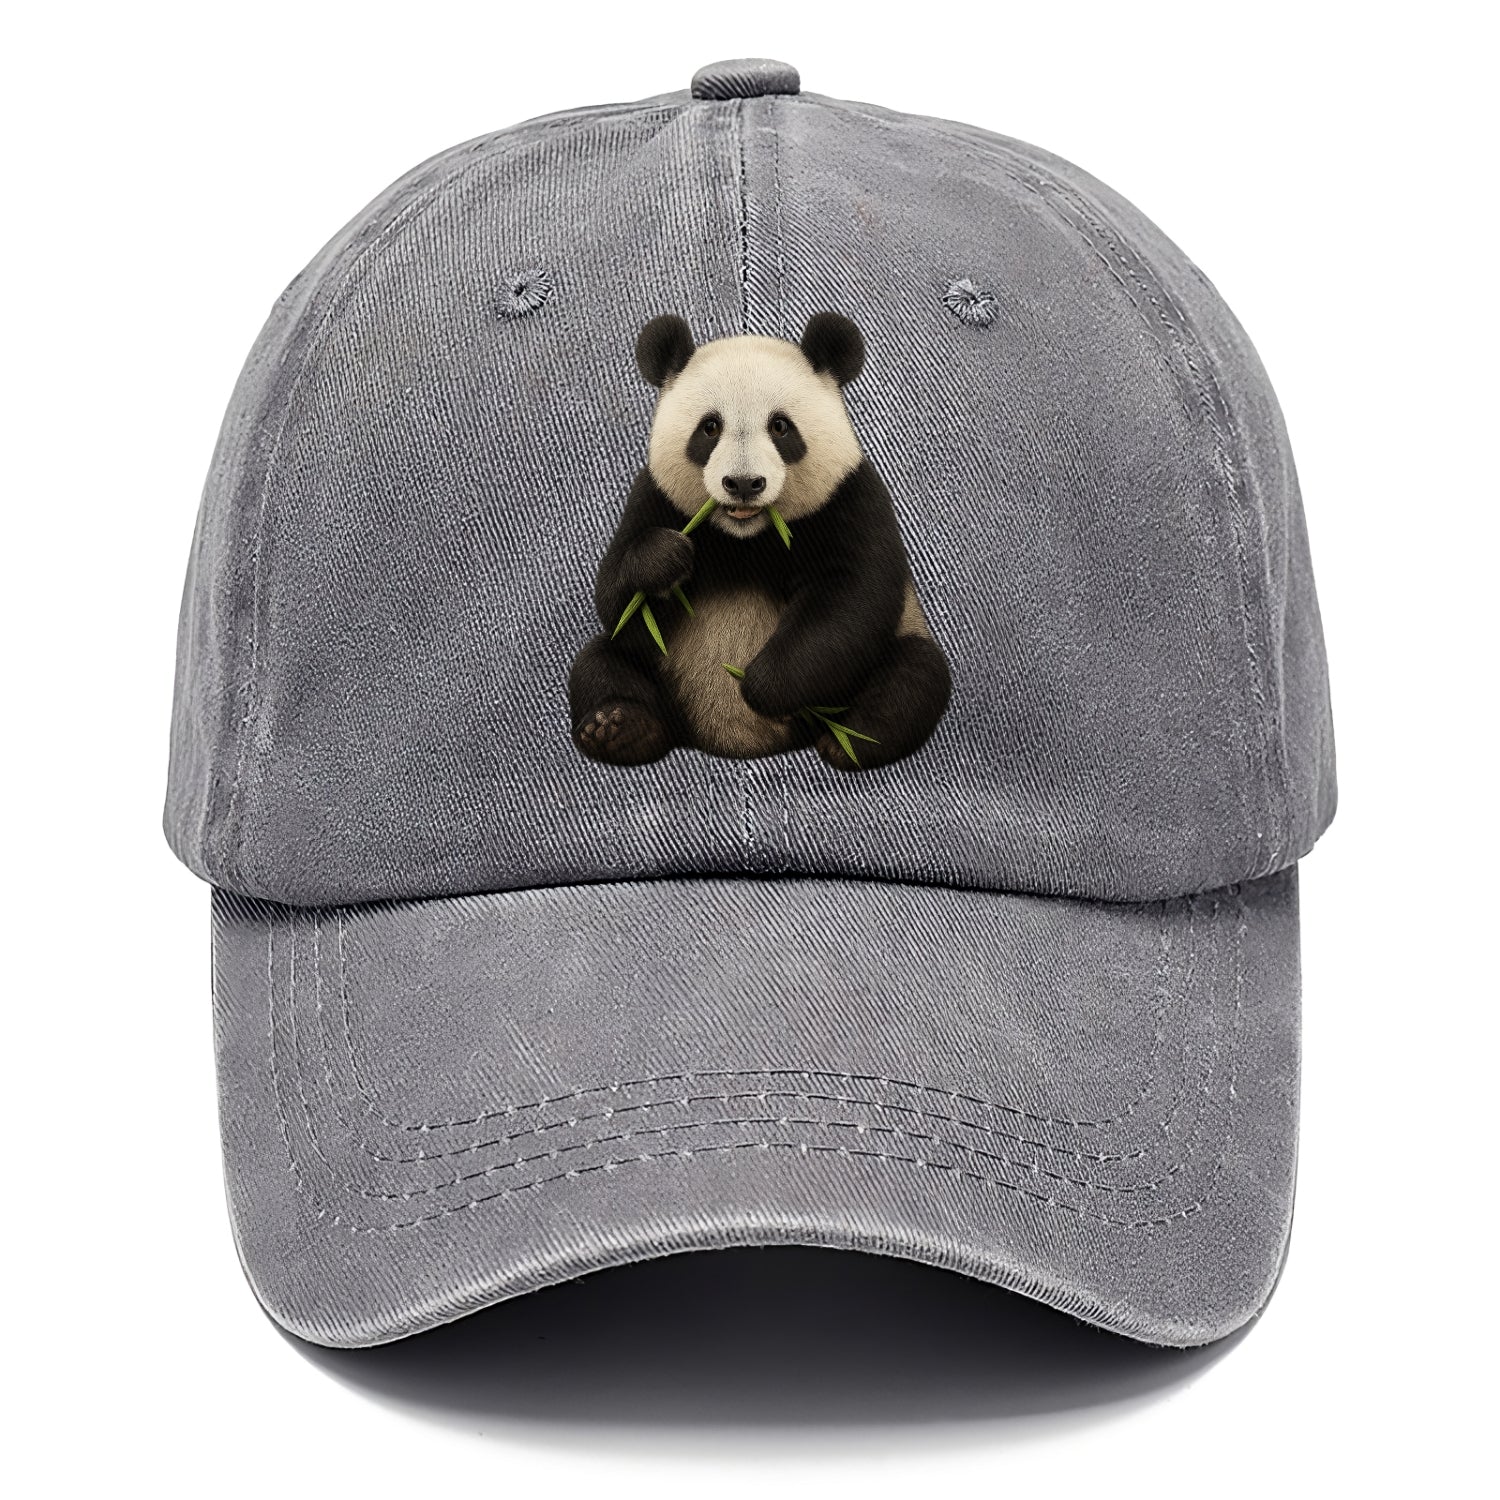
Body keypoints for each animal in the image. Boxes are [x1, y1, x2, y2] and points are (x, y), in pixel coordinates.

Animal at [568, 311, 952, 773]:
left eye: (780, 426)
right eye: (710, 427)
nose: (744, 483)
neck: (747, 537)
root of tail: (741, 745)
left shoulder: (850, 499)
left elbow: (851, 597)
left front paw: (760, 686)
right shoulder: (654, 497)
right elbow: (617, 599)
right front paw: (664, 559)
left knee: (914, 675)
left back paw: (851, 739)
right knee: (600, 660)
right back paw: (620, 729)